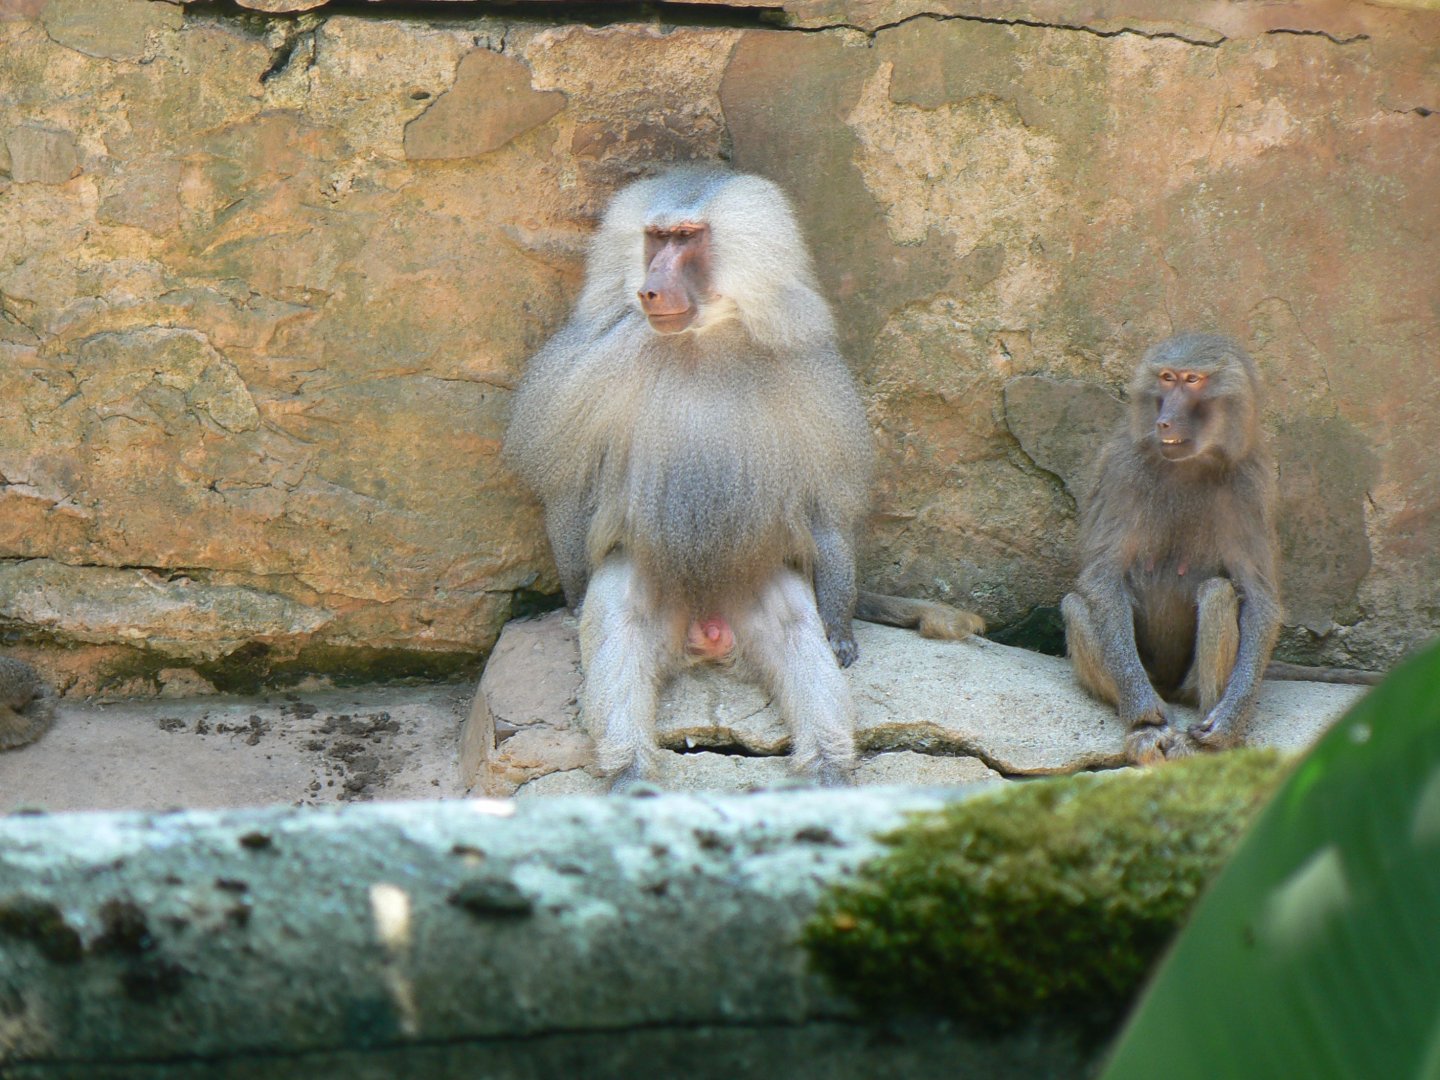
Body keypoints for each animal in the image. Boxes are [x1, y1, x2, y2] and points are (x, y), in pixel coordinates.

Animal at [503, 166, 982, 790]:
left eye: (687, 238)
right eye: (655, 238)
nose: (648, 291)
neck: (703, 342)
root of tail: (705, 636)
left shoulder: (809, 375)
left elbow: (825, 510)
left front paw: (840, 627)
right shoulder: (589, 367)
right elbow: (570, 490)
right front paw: (575, 604)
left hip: (754, 583)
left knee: (795, 634)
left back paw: (828, 769)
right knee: (620, 632)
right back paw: (630, 774)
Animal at [1062, 334, 1285, 765]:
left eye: (1192, 380)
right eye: (1166, 377)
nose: (1163, 421)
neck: (1190, 464)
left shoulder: (1251, 484)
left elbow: (1258, 596)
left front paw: (1226, 723)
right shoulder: (1122, 468)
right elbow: (1103, 578)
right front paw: (1144, 716)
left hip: (1188, 686)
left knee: (1218, 592)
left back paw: (1201, 742)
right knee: (1076, 605)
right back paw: (1147, 730)